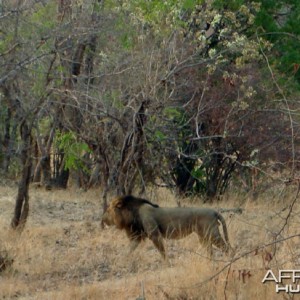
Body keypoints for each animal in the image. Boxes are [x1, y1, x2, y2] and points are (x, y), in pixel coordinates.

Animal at [102, 195, 231, 260]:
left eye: (108, 210)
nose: (102, 219)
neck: (132, 213)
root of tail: (214, 211)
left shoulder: (155, 235)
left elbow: (162, 252)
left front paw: (166, 264)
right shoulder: (137, 237)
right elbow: (129, 250)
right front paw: (122, 260)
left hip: (213, 234)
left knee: (227, 248)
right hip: (203, 236)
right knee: (210, 251)